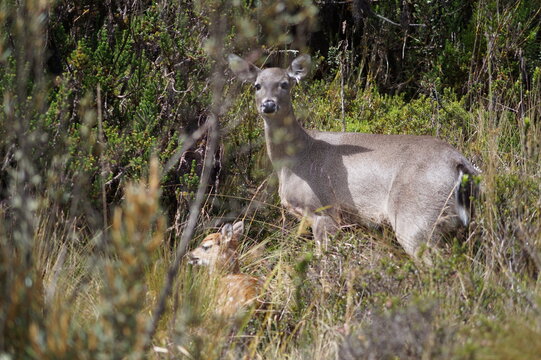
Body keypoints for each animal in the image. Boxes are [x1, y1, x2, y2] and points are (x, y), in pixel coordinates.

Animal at [228, 53, 476, 260]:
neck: (295, 160)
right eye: (257, 85)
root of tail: (459, 162)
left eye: (285, 84)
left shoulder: (322, 208)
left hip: (417, 216)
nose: (268, 105)